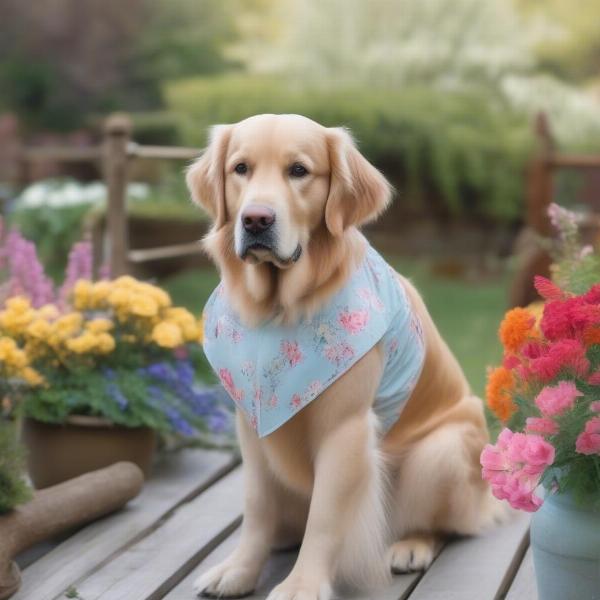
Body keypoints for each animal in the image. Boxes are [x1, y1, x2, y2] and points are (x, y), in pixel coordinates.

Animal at [186, 113, 502, 600]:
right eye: (240, 169)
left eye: (299, 170)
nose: (256, 219)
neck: (277, 310)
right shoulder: (251, 424)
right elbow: (257, 506)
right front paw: (239, 568)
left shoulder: (345, 428)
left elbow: (326, 517)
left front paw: (302, 585)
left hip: (442, 450)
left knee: (442, 523)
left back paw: (410, 545)